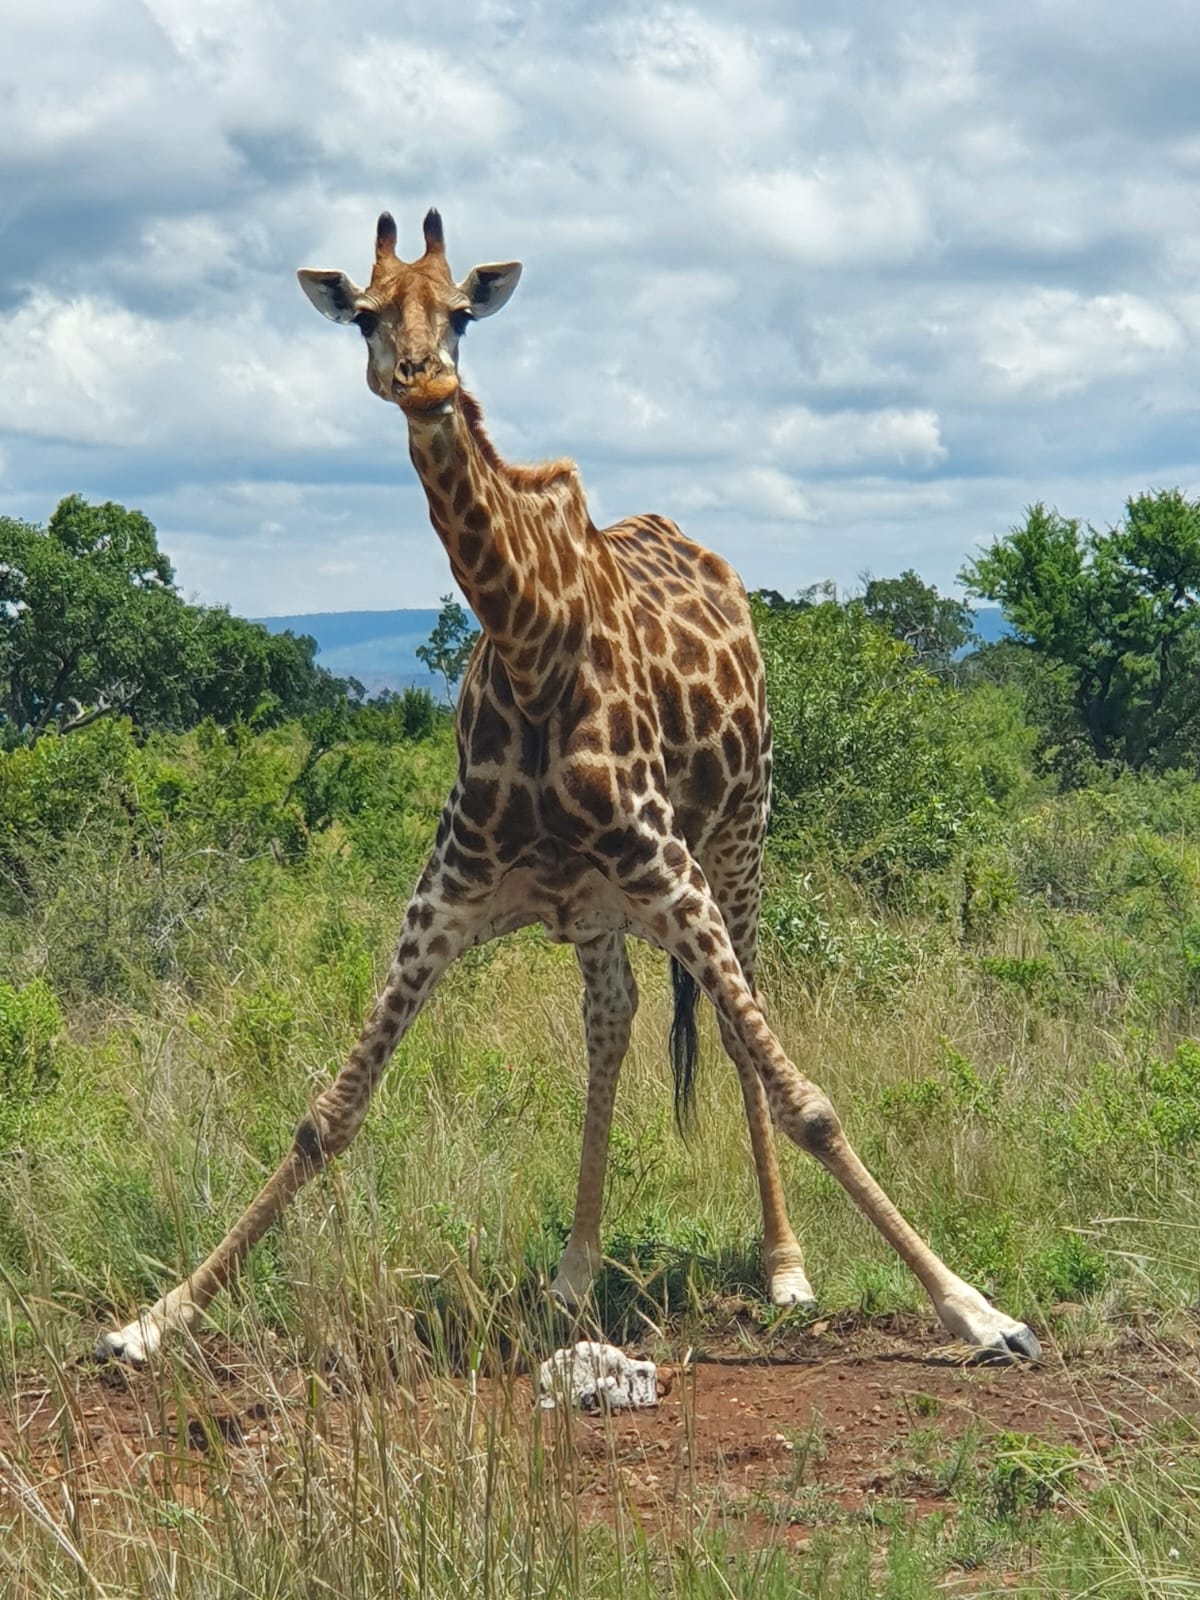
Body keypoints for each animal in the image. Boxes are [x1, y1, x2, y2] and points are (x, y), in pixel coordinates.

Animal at [96, 210, 1039, 1365]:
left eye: (461, 311)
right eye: (365, 314)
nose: (422, 380)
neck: (531, 644)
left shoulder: (671, 872)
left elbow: (808, 1097)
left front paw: (977, 1307)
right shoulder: (445, 898)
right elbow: (329, 1114)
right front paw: (155, 1318)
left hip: (740, 840)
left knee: (737, 1031)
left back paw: (782, 1267)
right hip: (597, 907)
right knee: (614, 1021)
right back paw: (575, 1274)